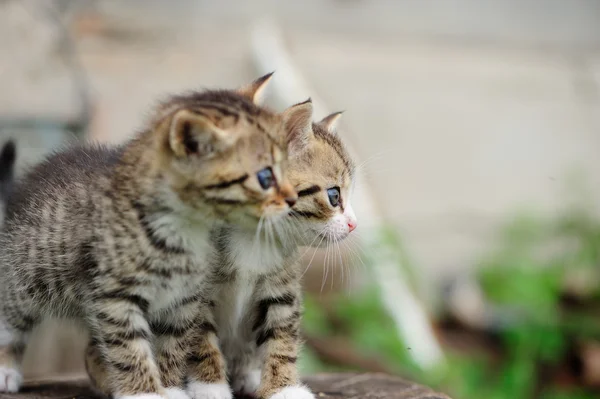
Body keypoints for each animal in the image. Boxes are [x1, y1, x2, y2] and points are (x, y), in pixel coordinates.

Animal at [1, 75, 314, 399]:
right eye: (265, 177)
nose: (292, 199)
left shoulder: (186, 298)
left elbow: (175, 343)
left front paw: (171, 388)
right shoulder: (116, 294)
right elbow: (129, 348)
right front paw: (144, 393)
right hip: (27, 277)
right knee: (10, 319)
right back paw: (7, 368)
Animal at [204, 111, 358, 399]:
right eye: (334, 195)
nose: (354, 224)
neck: (253, 235)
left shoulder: (282, 288)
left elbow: (281, 336)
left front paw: (283, 387)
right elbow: (197, 338)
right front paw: (208, 387)